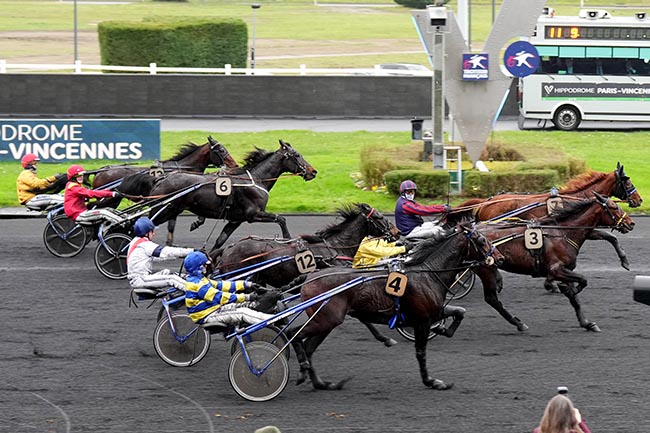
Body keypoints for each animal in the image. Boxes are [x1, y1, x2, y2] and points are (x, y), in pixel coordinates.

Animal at [286, 223, 504, 392]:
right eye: (482, 240)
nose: (500, 257)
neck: (428, 273)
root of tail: (309, 277)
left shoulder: (431, 312)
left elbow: (460, 312)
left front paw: (444, 329)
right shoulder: (422, 321)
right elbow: (421, 352)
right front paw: (432, 381)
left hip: (327, 321)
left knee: (308, 347)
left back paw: (321, 383)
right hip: (326, 319)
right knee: (293, 335)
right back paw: (303, 368)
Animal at [470, 192, 632, 330]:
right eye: (614, 207)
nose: (631, 223)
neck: (562, 233)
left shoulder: (566, 270)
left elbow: (575, 300)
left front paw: (587, 323)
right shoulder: (557, 269)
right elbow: (582, 281)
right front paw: (567, 289)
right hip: (485, 269)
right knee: (492, 299)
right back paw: (518, 322)